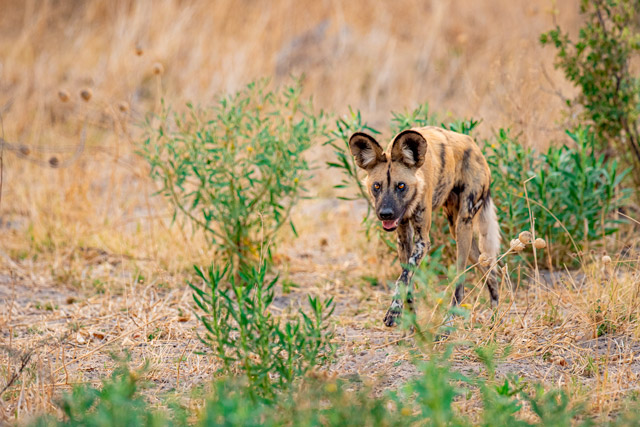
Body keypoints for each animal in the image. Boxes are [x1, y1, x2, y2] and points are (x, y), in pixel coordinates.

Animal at [348, 126, 501, 326]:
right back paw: (495, 312)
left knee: (460, 281)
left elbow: (403, 279)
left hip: (463, 226)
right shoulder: (403, 238)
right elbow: (407, 280)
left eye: (401, 186)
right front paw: (411, 322)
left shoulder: (422, 242)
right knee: (489, 268)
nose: (386, 214)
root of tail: (474, 145)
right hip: (456, 228)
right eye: (376, 186)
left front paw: (394, 313)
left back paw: (449, 320)